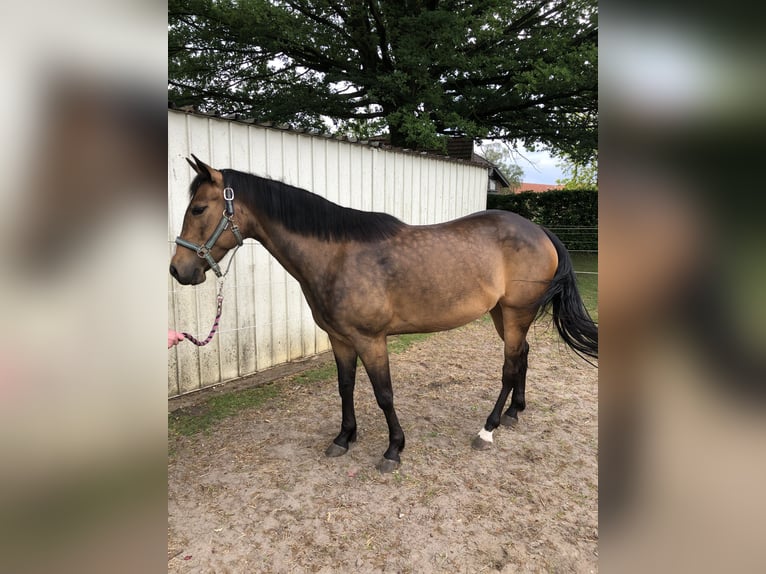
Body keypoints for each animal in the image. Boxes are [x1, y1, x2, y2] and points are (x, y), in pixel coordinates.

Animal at [171, 155, 596, 474]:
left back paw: (488, 429)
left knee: (509, 366)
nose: (179, 270)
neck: (336, 256)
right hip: (501, 315)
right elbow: (345, 387)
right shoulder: (340, 339)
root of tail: (540, 231)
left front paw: (394, 449)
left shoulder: (370, 340)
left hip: (515, 312)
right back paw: (513, 413)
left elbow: (384, 394)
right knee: (522, 356)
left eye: (199, 208)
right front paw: (344, 438)